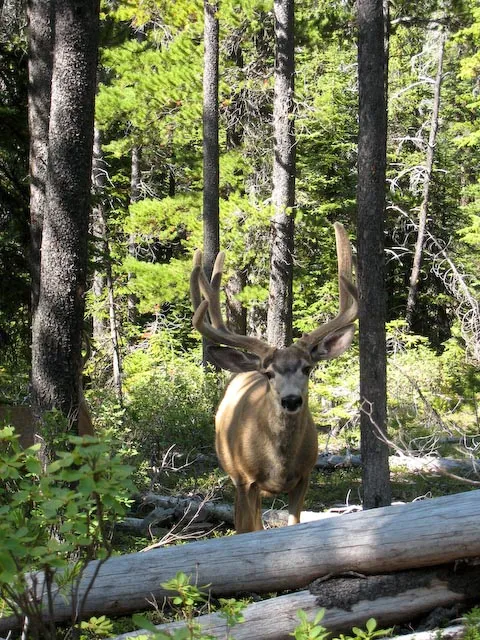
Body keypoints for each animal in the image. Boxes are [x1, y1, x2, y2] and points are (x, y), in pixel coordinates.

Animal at [190, 222, 358, 534]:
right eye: (269, 373)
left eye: (307, 368)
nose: (291, 400)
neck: (279, 465)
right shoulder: (246, 481)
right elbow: (249, 530)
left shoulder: (304, 477)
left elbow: (294, 523)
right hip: (234, 476)